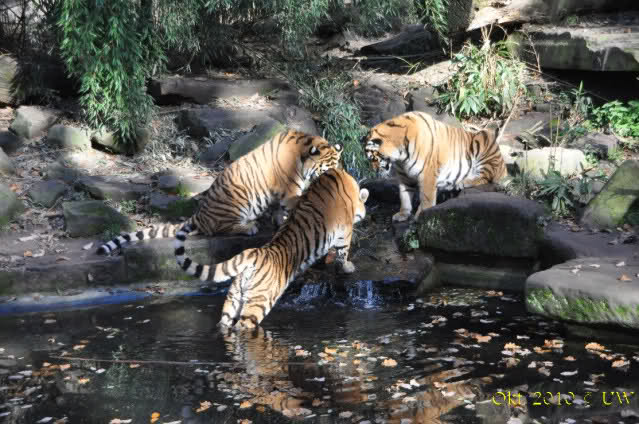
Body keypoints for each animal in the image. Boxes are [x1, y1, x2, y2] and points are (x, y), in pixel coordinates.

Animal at [96, 130, 342, 255]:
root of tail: (199, 215)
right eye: (329, 168)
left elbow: (279, 210)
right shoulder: (290, 190)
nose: (339, 177)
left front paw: (279, 221)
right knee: (220, 229)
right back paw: (249, 226)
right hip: (237, 203)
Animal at [174, 167, 369, 330]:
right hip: (259, 302)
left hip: (233, 299)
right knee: (243, 326)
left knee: (224, 323)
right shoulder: (345, 231)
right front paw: (347, 267)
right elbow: (343, 253)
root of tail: (251, 255)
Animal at [362, 111, 506, 223]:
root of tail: (503, 165)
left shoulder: (427, 173)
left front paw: (421, 215)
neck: (400, 157)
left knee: (486, 176)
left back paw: (463, 182)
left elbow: (426, 197)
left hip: (482, 140)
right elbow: (404, 196)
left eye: (373, 158)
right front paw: (403, 214)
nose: (374, 171)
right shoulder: (404, 177)